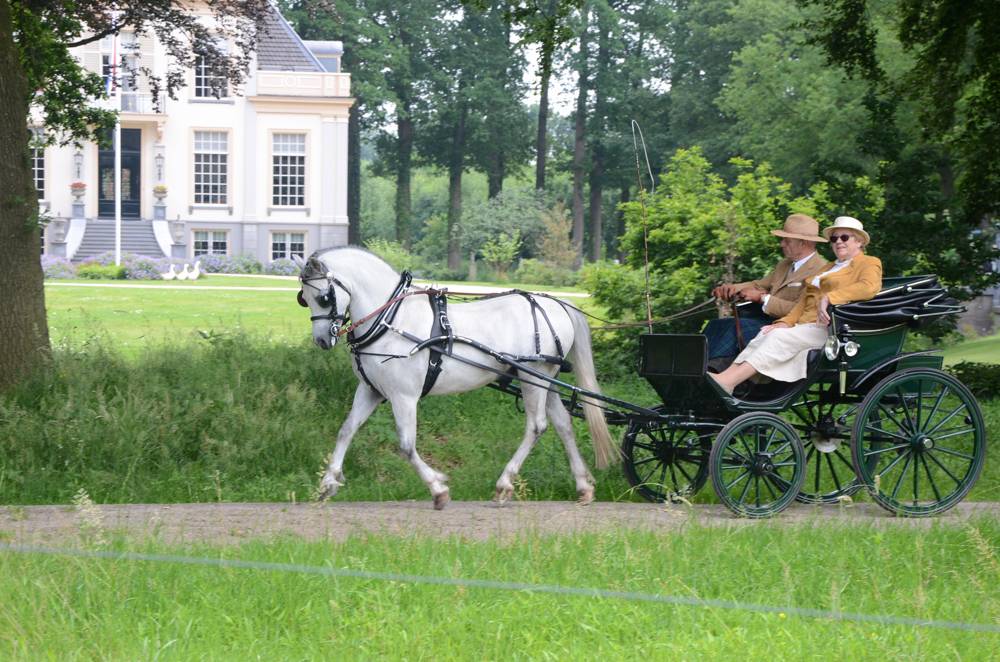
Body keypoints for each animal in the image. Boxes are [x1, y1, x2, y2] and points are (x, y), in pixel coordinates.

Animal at [293, 247, 616, 509]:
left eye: (324, 297)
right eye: (303, 298)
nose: (322, 340)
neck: (391, 321)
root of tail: (556, 303)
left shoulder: (403, 396)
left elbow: (406, 445)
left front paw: (438, 489)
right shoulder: (371, 390)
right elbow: (346, 430)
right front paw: (328, 483)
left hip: (531, 377)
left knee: (536, 426)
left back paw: (504, 484)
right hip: (544, 380)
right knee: (563, 425)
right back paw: (583, 486)